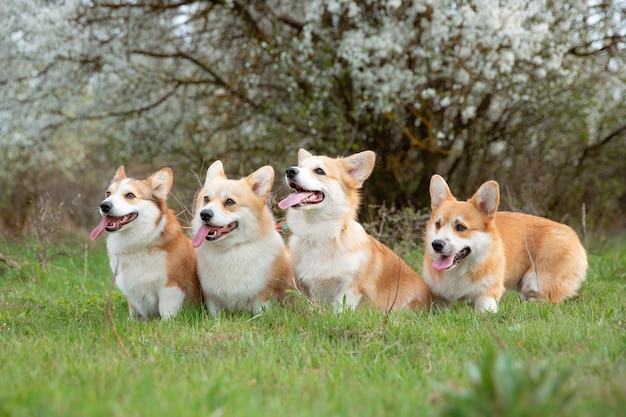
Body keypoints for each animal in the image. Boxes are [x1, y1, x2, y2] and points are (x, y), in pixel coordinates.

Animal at [89, 166, 200, 318]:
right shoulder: (131, 293)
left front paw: (167, 322)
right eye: (108, 193)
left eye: (130, 195)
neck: (140, 242)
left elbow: (167, 312)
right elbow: (134, 312)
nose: (104, 206)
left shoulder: (171, 286)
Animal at [189, 160, 294, 316]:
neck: (229, 249)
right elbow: (215, 315)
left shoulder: (264, 296)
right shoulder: (212, 298)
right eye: (206, 199)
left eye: (230, 202)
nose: (204, 214)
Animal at [278, 148, 428, 310]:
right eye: (300, 166)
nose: (290, 171)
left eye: (319, 171)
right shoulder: (306, 287)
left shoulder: (350, 287)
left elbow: (338, 309)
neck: (319, 232)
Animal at [422, 173, 588, 312]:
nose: (436, 245)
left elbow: (484, 310)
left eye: (460, 227)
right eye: (438, 224)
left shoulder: (488, 293)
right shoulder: (439, 296)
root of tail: (573, 235)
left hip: (536, 280)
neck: (460, 270)